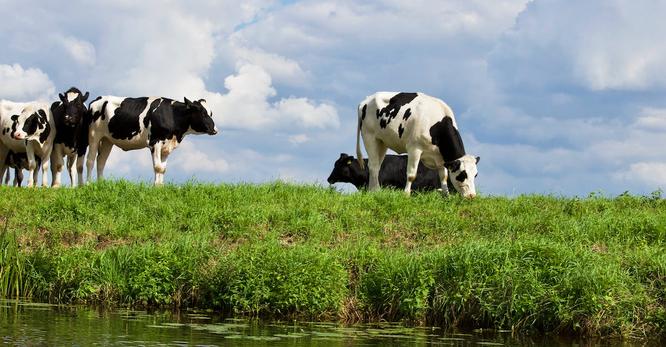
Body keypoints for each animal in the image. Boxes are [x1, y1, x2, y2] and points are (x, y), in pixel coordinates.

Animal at [85, 96, 218, 186]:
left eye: (211, 113)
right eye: (202, 113)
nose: (215, 130)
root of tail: (98, 99)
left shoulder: (167, 146)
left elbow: (163, 169)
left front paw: (161, 187)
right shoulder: (155, 142)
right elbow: (158, 167)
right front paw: (156, 187)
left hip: (107, 140)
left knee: (101, 161)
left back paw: (101, 184)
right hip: (94, 135)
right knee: (90, 160)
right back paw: (88, 184)